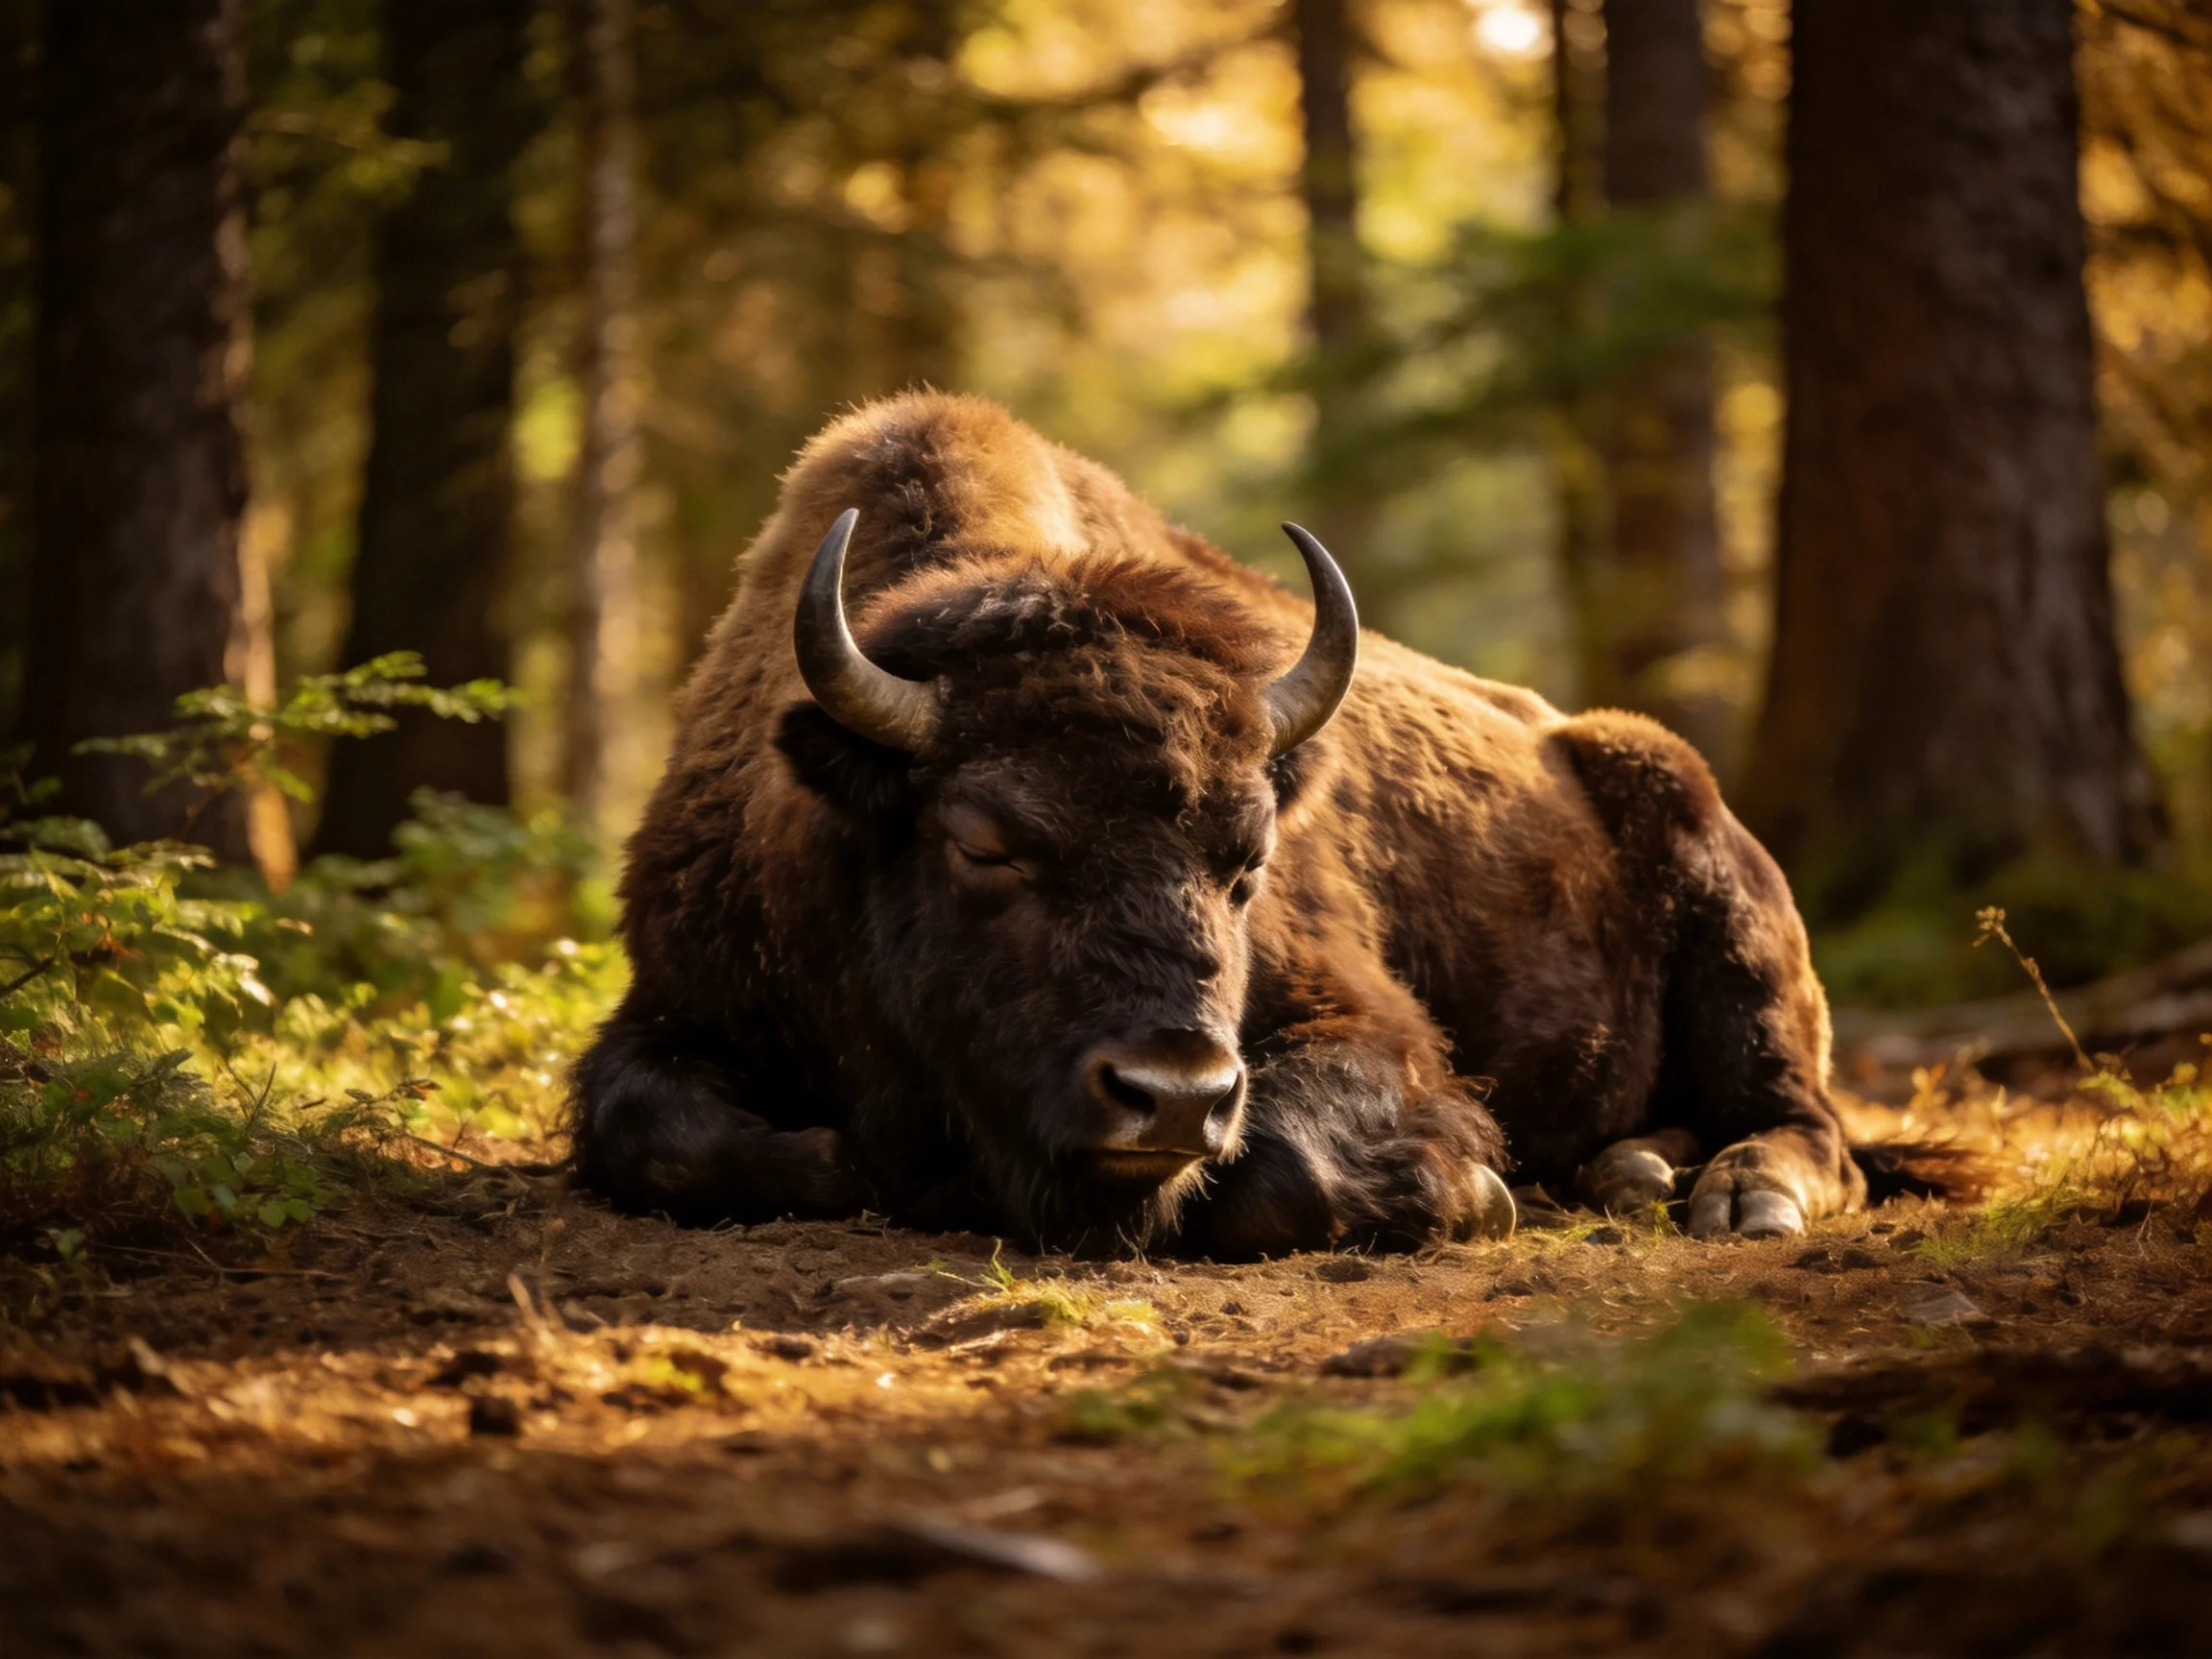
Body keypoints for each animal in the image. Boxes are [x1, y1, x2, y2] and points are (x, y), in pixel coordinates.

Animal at [573, 393, 1863, 1255]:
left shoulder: (1367, 1027)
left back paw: (1735, 1198)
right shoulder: (676, 1004)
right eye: (983, 844)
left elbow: (1278, 1166)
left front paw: (1476, 1195)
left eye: (1250, 863)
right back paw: (1633, 1170)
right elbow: (656, 1133)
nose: (1174, 1094)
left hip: (1742, 939)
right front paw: (853, 1158)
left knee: (1810, 1125)